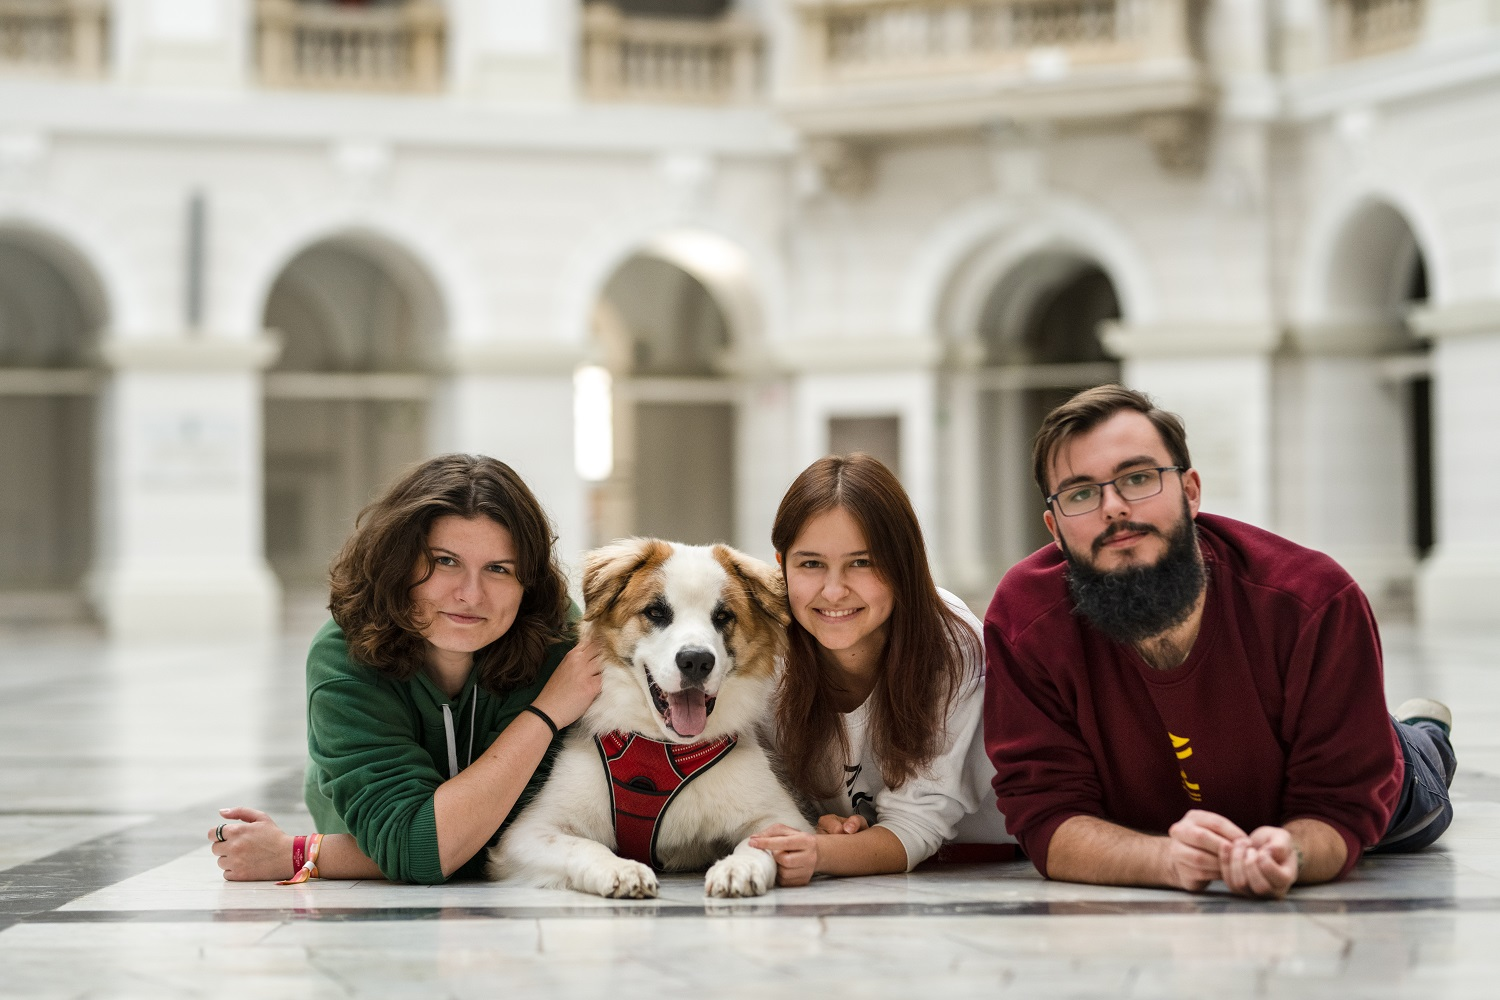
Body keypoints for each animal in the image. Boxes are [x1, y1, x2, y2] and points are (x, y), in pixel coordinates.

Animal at [486, 539, 816, 899]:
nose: (696, 661)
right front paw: (621, 869)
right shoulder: (530, 830)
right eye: (656, 613)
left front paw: (738, 867)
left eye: (722, 616)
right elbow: (582, 846)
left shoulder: (783, 818)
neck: (661, 747)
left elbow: (760, 842)